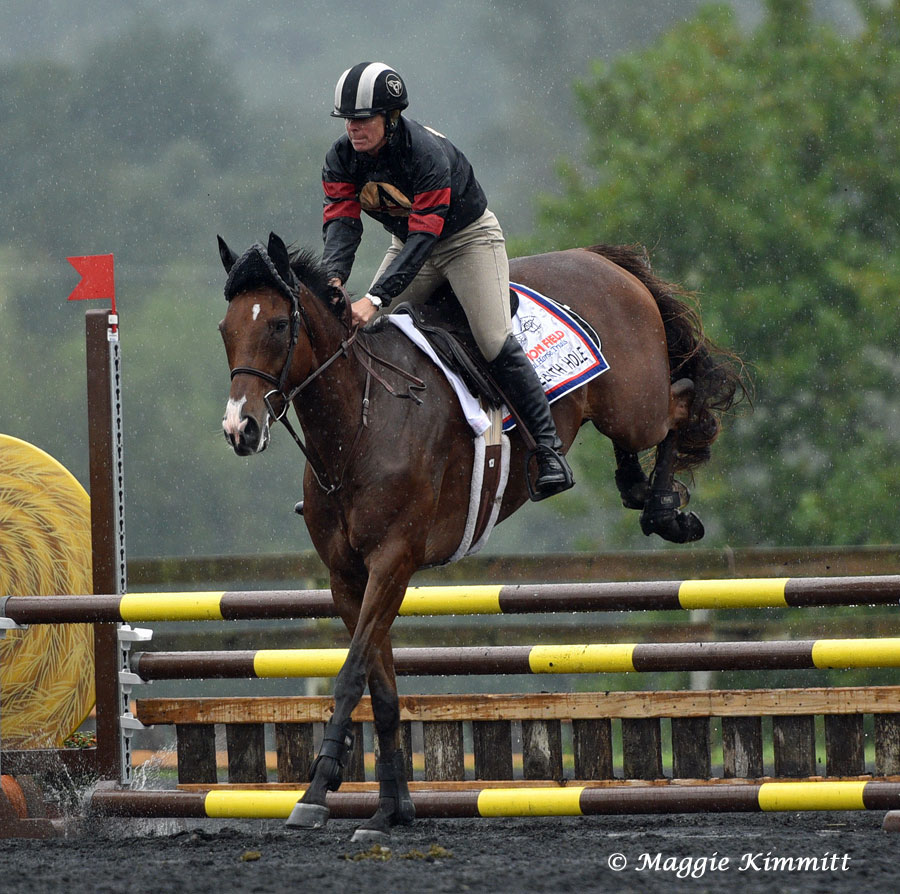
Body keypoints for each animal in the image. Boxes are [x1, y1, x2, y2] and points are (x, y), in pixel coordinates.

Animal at [214, 233, 740, 848]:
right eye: (226, 328)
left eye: (278, 325)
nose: (240, 429)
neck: (360, 423)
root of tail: (602, 259)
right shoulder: (348, 578)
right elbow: (381, 687)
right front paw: (391, 811)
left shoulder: (393, 563)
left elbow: (349, 677)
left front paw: (316, 793)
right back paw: (636, 487)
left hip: (634, 404)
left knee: (682, 399)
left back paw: (662, 509)